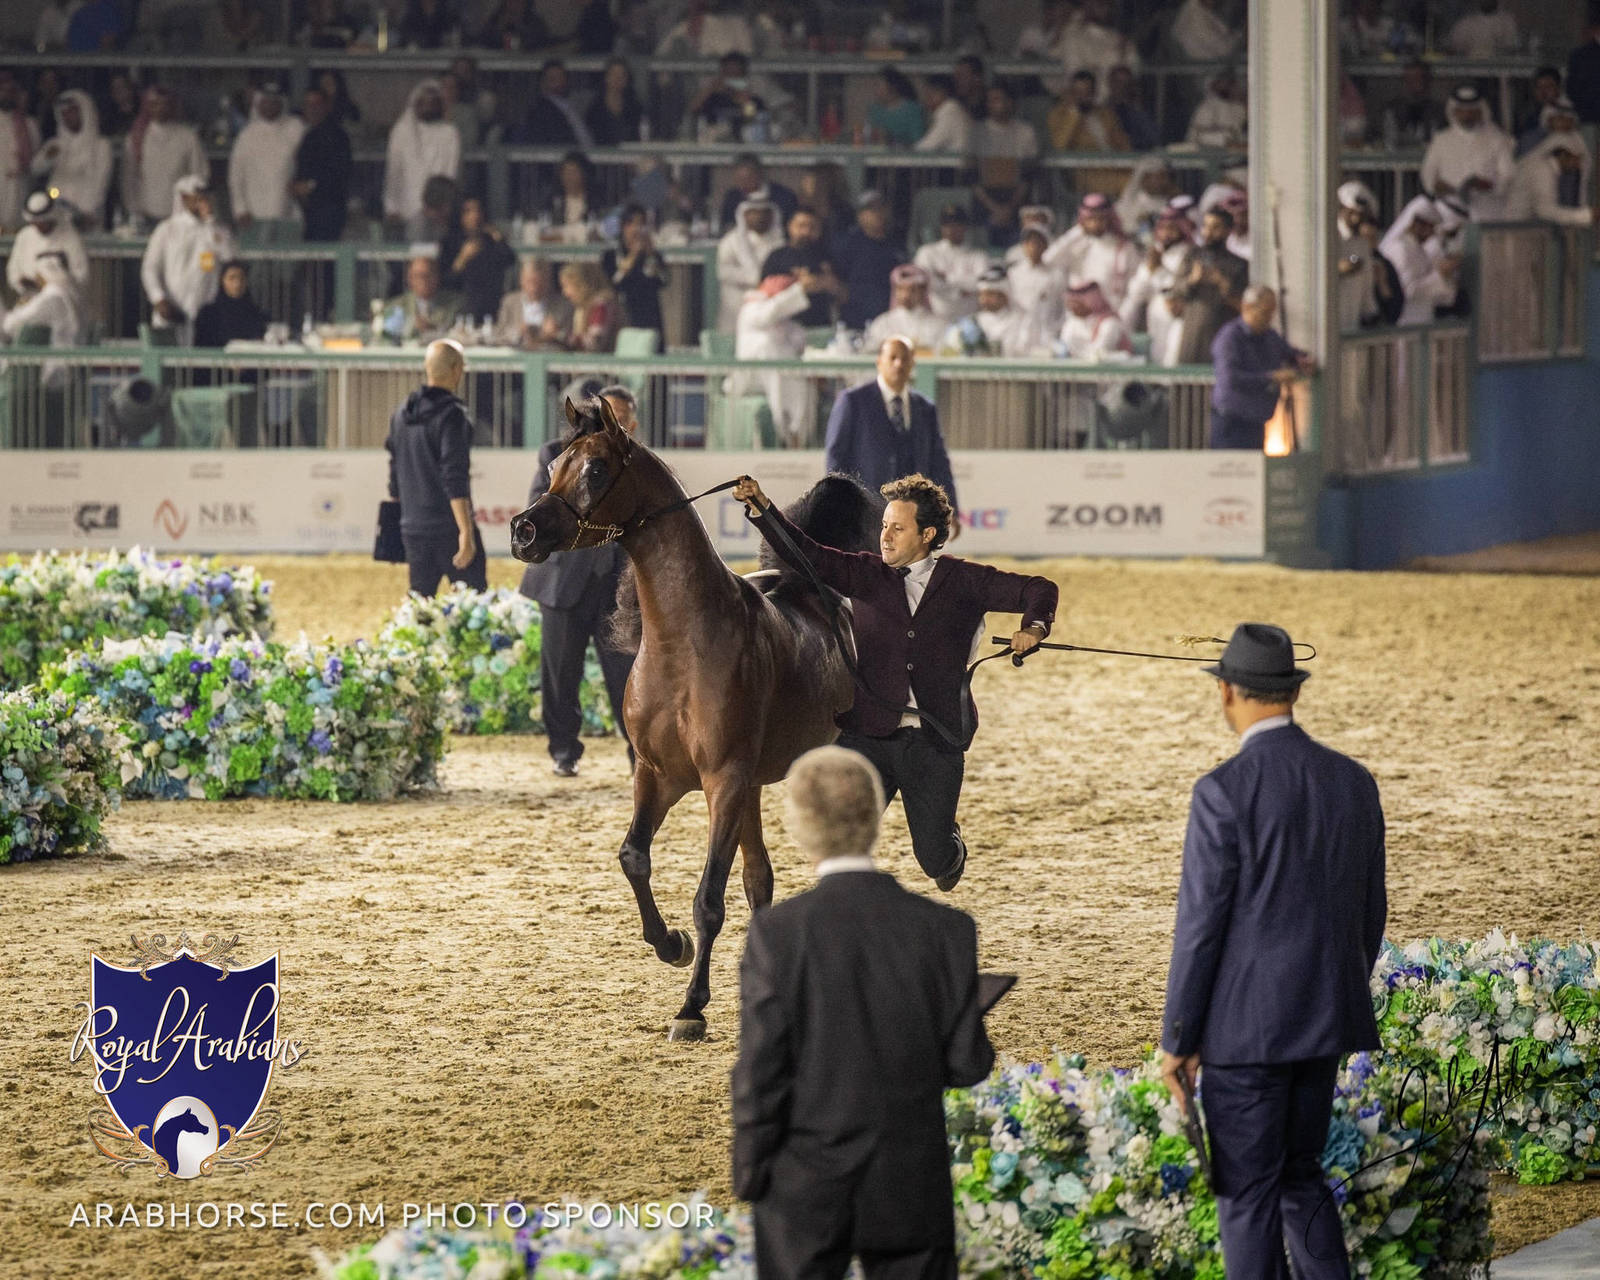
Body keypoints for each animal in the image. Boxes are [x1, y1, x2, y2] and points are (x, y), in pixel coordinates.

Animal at [509, 396, 883, 1040]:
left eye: (597, 468)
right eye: (555, 463)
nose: (524, 530)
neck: (683, 646)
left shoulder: (722, 781)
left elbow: (708, 897)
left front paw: (691, 1007)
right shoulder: (657, 775)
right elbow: (634, 858)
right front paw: (672, 946)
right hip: (752, 787)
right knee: (760, 879)